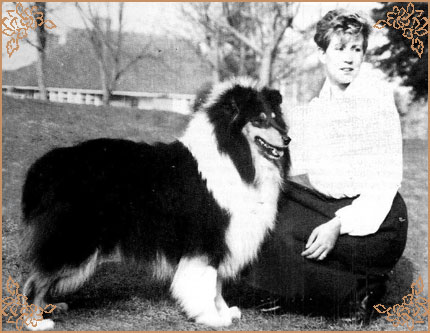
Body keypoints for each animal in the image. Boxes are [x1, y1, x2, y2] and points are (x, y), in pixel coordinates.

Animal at [23, 77, 290, 326]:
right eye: (259, 120)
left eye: (276, 118)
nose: (287, 139)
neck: (235, 157)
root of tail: (56, 161)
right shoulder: (208, 240)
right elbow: (207, 282)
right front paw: (211, 317)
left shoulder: (225, 240)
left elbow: (217, 286)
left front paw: (224, 312)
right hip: (75, 240)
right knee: (37, 279)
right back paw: (36, 322)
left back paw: (50, 308)